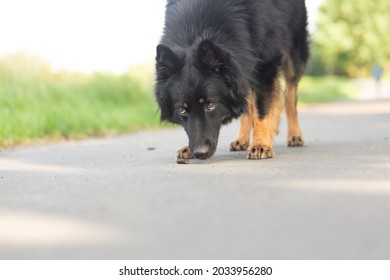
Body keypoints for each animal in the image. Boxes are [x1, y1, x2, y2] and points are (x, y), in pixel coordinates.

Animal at [154, 0, 310, 163]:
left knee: (290, 96)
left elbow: (262, 110)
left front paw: (261, 144)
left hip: (292, 55)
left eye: (210, 105)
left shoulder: (265, 65)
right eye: (182, 110)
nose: (199, 153)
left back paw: (294, 135)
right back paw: (242, 139)